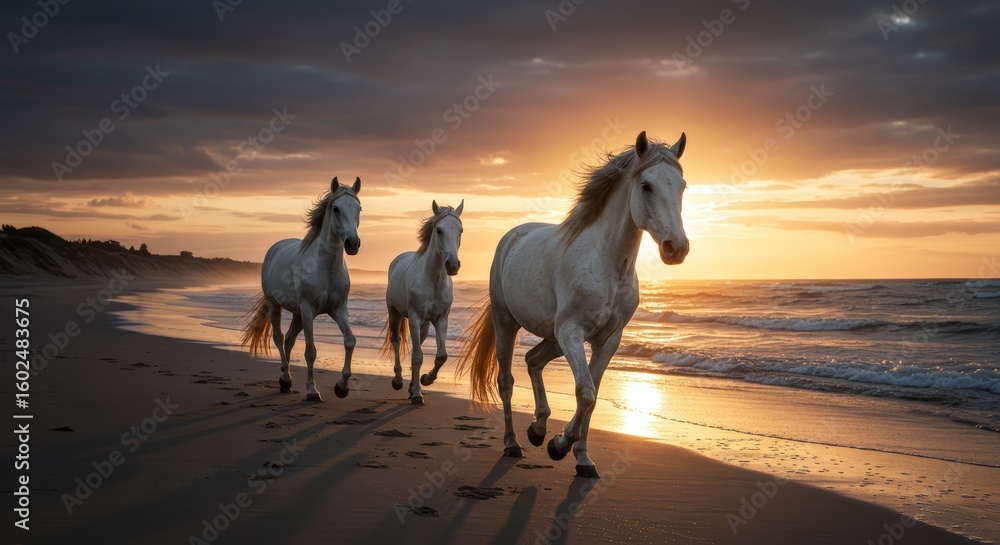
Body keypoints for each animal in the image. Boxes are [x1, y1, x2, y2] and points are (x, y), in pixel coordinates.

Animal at [241, 176, 362, 402]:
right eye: (336, 208)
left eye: (359, 208)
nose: (352, 243)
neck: (326, 267)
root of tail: (276, 247)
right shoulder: (308, 310)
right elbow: (310, 351)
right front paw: (313, 390)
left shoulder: (339, 309)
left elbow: (350, 341)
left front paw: (342, 387)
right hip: (276, 305)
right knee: (279, 338)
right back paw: (286, 377)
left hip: (297, 314)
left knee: (289, 339)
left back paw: (285, 383)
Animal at [381, 200, 465, 405]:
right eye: (439, 230)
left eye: (460, 230)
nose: (452, 265)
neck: (433, 280)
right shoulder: (414, 317)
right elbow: (418, 356)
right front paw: (418, 395)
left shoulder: (441, 319)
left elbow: (441, 355)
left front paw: (425, 380)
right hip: (395, 314)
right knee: (396, 341)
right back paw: (398, 381)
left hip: (424, 325)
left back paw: (412, 386)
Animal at [458, 131, 688, 478]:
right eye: (646, 185)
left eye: (682, 185)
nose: (677, 247)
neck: (608, 264)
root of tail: (513, 236)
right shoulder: (571, 332)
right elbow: (585, 392)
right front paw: (560, 445)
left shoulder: (608, 340)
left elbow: (592, 395)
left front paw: (581, 458)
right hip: (507, 322)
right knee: (506, 380)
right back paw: (513, 443)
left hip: (552, 337)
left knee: (533, 360)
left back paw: (537, 429)